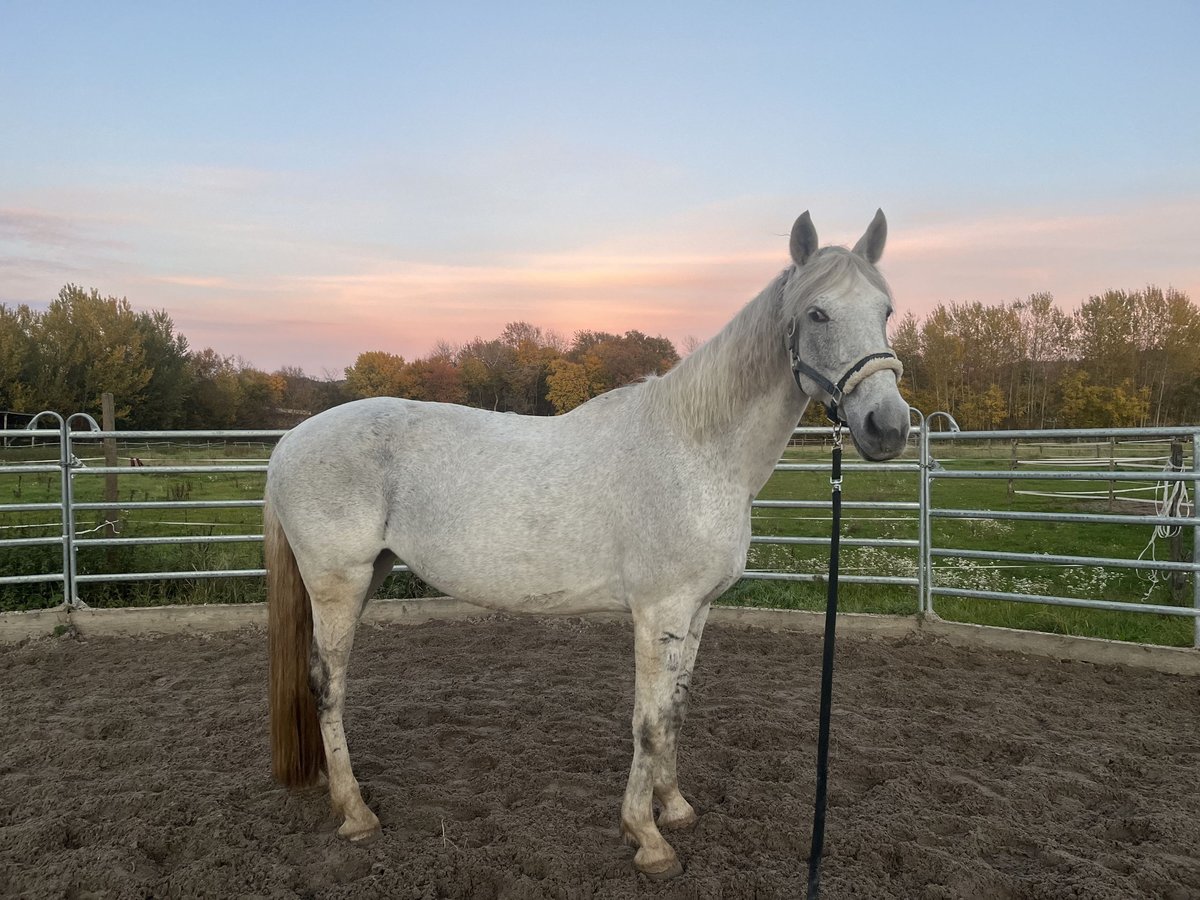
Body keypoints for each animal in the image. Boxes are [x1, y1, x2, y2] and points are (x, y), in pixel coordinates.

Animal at [265, 209, 910, 879]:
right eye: (817, 314)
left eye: (886, 310)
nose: (888, 427)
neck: (698, 450)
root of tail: (290, 442)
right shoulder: (659, 613)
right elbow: (649, 722)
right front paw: (647, 838)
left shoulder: (697, 611)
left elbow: (675, 713)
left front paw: (674, 806)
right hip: (338, 584)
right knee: (327, 685)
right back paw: (355, 811)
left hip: (368, 576)